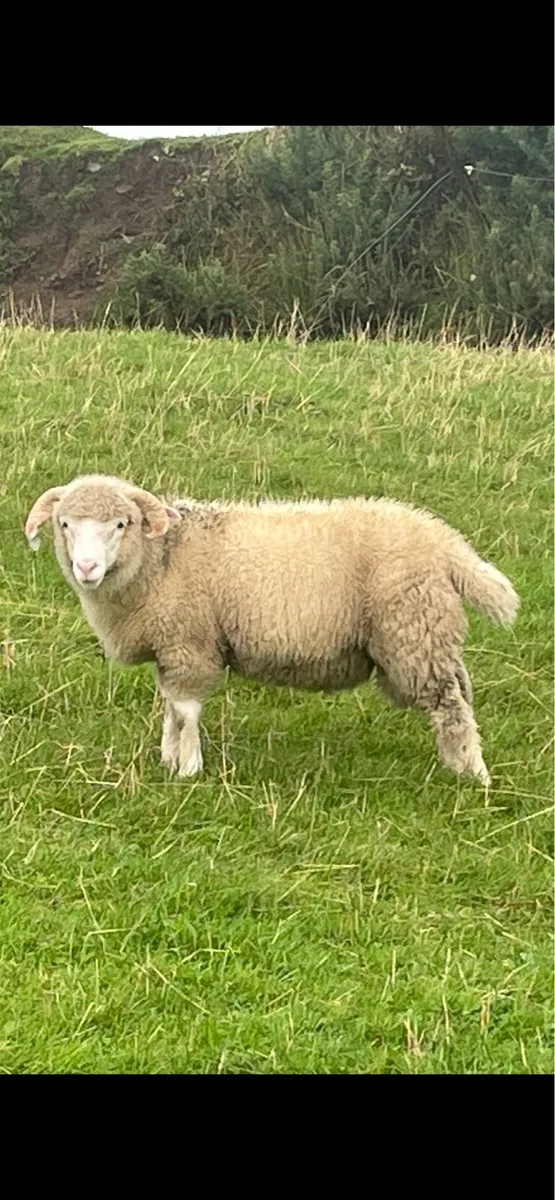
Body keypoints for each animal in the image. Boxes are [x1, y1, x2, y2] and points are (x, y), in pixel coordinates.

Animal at [25, 473, 519, 785]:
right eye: (64, 524)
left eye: (121, 524)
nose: (86, 567)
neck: (158, 561)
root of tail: (447, 544)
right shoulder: (172, 647)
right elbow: (170, 708)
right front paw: (168, 757)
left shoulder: (190, 644)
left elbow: (186, 710)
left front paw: (188, 769)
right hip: (430, 635)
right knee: (460, 693)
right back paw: (457, 764)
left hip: (414, 632)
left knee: (451, 707)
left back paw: (473, 777)